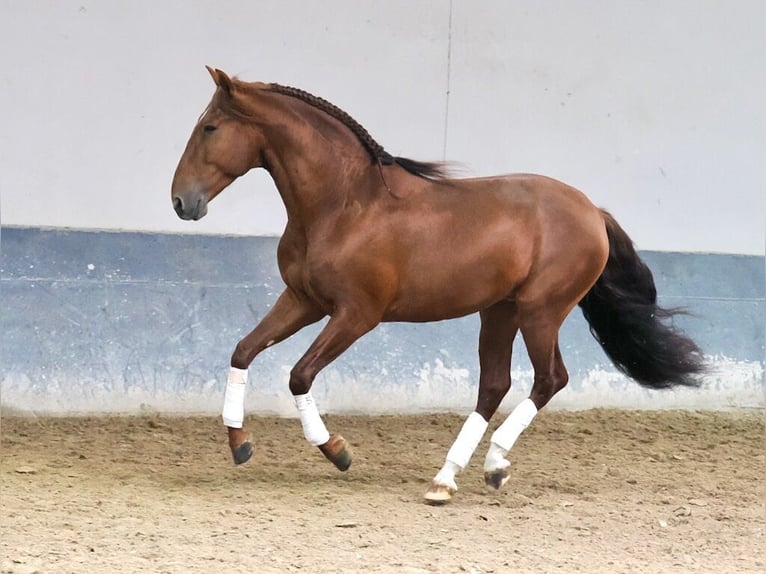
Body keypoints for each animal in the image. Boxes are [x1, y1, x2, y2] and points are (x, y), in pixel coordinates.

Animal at [171, 67, 704, 506]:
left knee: (550, 379)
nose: (181, 201)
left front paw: (337, 451)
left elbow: (299, 375)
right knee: (494, 385)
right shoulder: (303, 301)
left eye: (210, 127)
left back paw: (489, 465)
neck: (343, 203)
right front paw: (240, 444)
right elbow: (243, 351)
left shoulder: (356, 315)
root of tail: (592, 210)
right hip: (500, 310)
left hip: (541, 311)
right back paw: (452, 478)